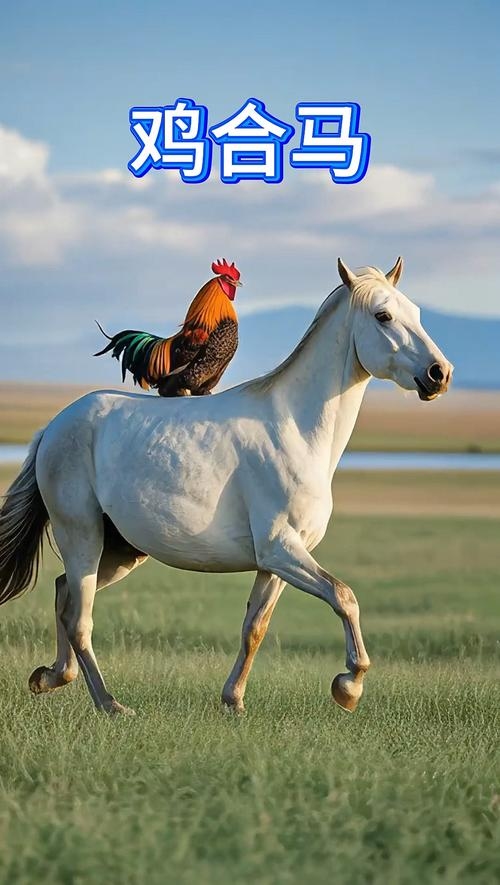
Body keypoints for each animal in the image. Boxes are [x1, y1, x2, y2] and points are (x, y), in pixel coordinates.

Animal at [0, 257, 453, 716]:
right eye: (383, 315)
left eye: (415, 311)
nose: (440, 374)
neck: (296, 431)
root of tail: (54, 427)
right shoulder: (280, 549)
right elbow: (344, 597)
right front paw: (348, 686)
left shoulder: (278, 561)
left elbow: (255, 626)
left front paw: (233, 701)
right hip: (82, 534)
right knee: (80, 619)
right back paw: (111, 704)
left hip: (121, 551)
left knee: (64, 594)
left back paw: (51, 677)